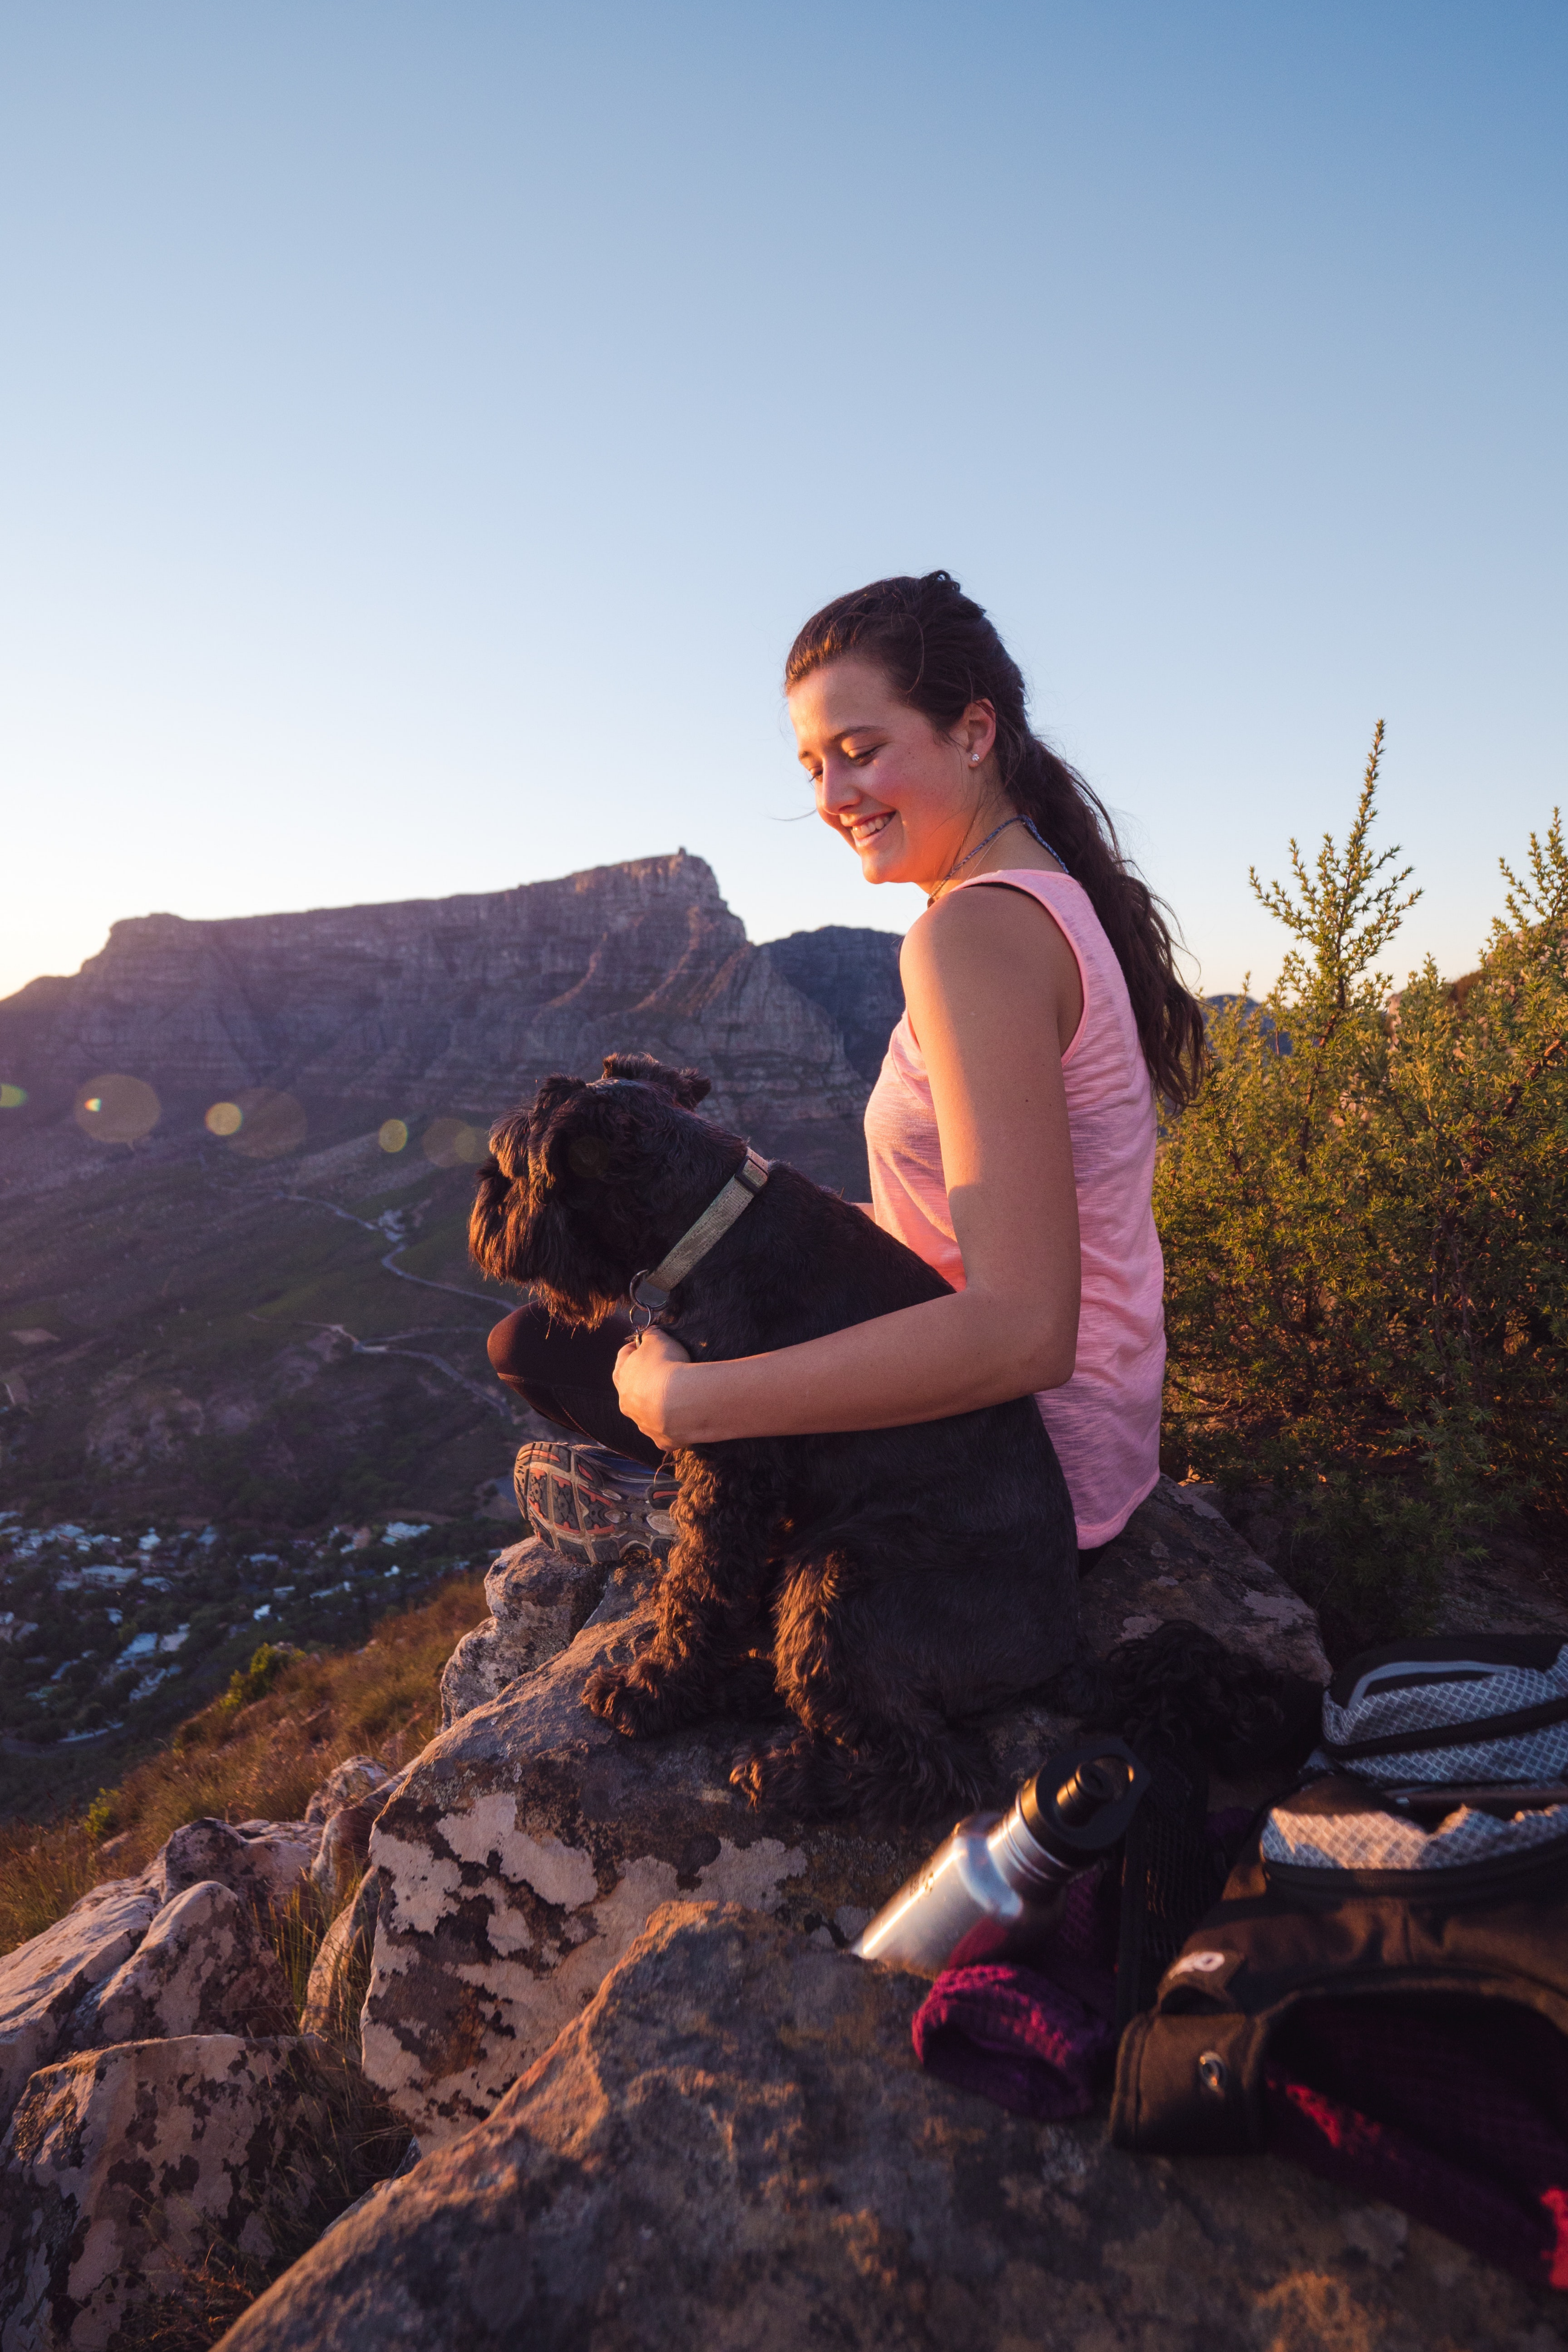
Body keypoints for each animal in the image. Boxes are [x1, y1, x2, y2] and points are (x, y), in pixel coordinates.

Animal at [470, 1058, 1081, 1825]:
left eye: (512, 1160)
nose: (483, 1204)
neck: (711, 1226)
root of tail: (1061, 1646)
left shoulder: (730, 1465)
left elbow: (699, 1586)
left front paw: (651, 1691)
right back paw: (747, 1684)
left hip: (842, 1577)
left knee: (935, 1766)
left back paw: (789, 1775)